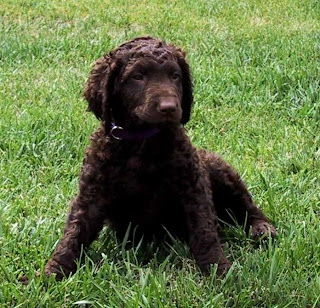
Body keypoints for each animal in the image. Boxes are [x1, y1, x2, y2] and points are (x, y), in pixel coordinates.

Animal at [44, 36, 276, 280]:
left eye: (175, 76)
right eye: (137, 76)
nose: (169, 108)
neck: (142, 141)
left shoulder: (193, 187)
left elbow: (204, 230)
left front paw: (218, 269)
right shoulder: (92, 193)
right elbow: (75, 231)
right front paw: (53, 271)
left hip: (220, 170)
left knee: (247, 207)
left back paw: (262, 228)